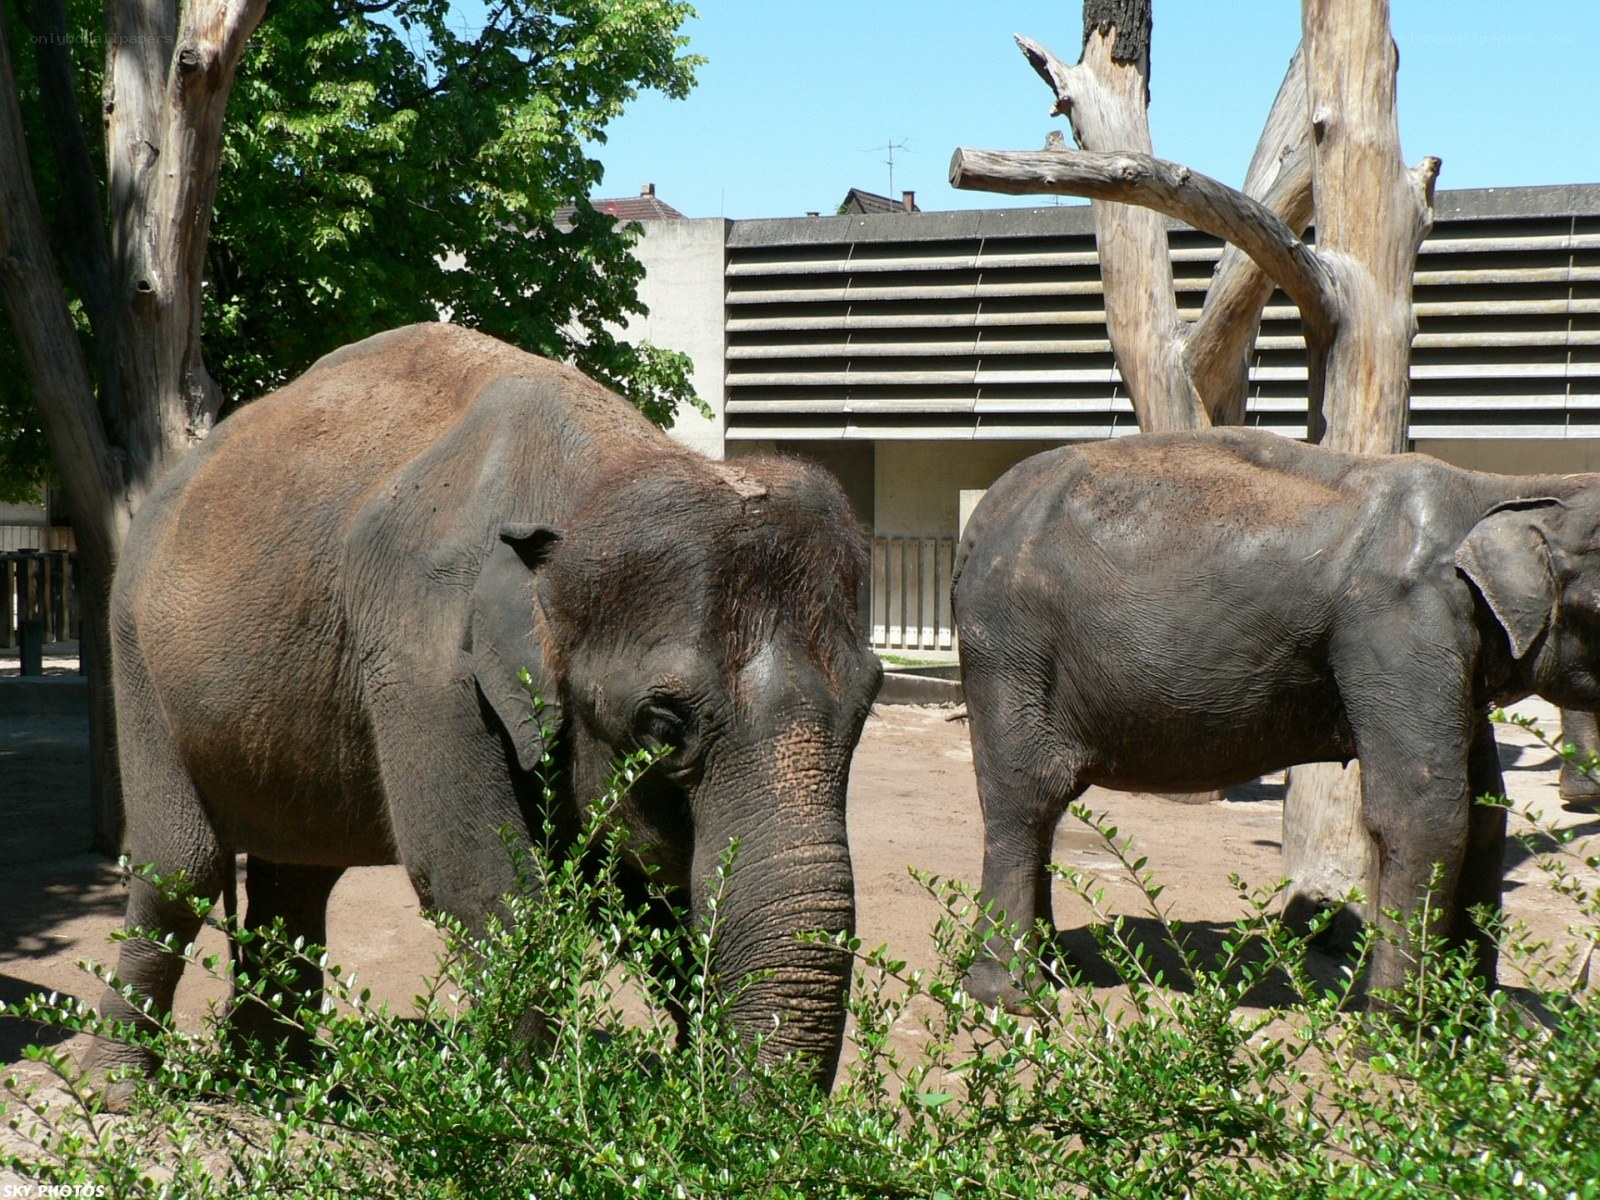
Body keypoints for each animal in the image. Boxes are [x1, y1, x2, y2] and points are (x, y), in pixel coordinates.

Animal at [88, 322, 881, 1094]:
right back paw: (120, 1092)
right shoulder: (422, 648)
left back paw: (278, 1081)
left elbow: (647, 898)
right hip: (135, 654)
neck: (595, 478)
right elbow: (479, 883)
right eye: (661, 725)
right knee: (182, 868)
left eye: (868, 704)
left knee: (298, 879)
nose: (712, 1096)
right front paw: (524, 1109)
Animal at [952, 426, 1600, 1008]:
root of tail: (977, 523)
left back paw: (1060, 967)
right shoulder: (1400, 622)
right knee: (1028, 797)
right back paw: (1013, 995)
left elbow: (1486, 810)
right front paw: (1397, 1035)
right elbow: (1425, 814)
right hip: (1010, 644)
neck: (1501, 487)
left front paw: (1472, 1027)